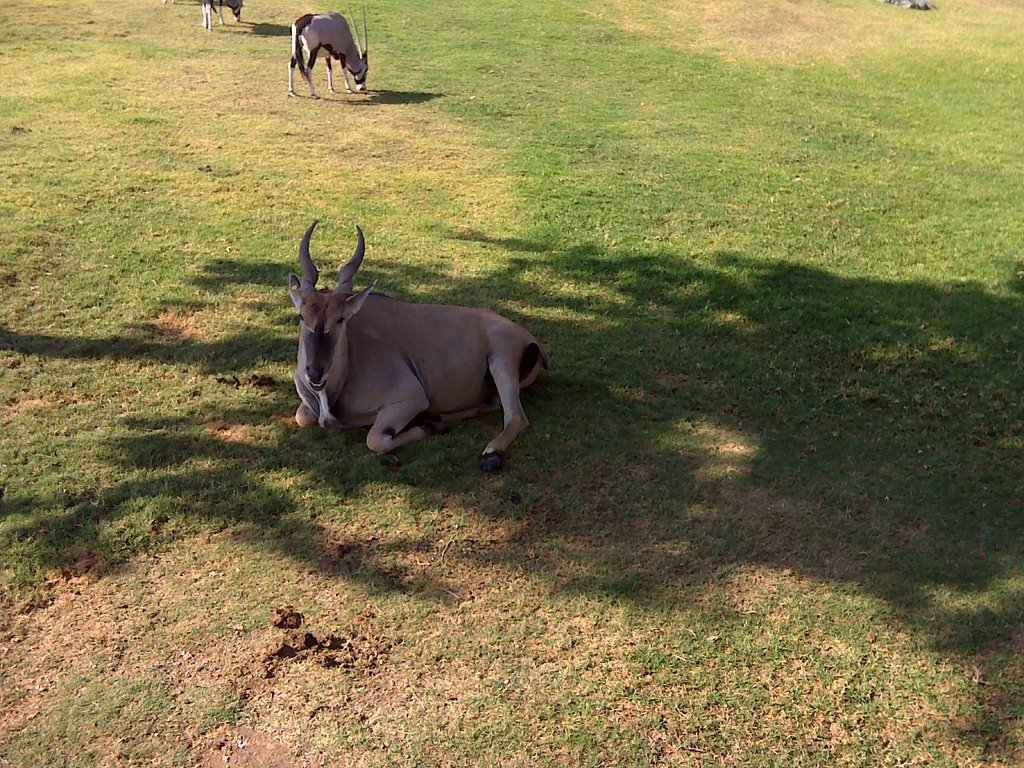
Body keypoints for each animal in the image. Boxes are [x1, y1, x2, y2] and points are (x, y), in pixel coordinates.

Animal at [288, 222, 548, 473]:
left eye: (340, 319)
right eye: (302, 316)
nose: (315, 373)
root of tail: (529, 338)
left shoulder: (411, 399)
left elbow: (375, 440)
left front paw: (427, 429)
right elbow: (302, 417)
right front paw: (432, 424)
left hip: (501, 360)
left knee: (516, 417)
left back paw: (490, 453)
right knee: (492, 405)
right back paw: (437, 419)